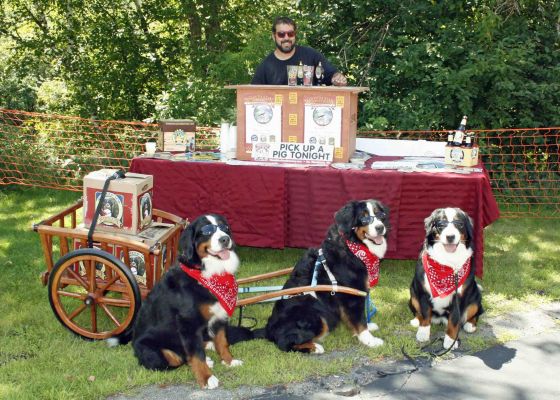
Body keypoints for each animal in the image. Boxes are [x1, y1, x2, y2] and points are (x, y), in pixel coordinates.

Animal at [108, 214, 242, 390]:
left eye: (225, 228)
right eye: (207, 231)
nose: (225, 239)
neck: (206, 272)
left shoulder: (219, 315)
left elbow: (222, 341)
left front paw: (229, 360)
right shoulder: (187, 323)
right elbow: (196, 355)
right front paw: (207, 378)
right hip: (158, 352)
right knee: (180, 358)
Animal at [258, 199, 390, 354]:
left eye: (380, 215)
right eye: (364, 218)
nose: (380, 227)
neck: (353, 247)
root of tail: (268, 329)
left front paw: (369, 328)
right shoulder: (352, 294)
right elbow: (359, 320)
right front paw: (370, 340)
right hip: (314, 315)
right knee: (285, 343)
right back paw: (315, 347)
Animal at [410, 208, 484, 348]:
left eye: (459, 224)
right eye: (441, 224)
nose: (450, 237)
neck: (447, 262)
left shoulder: (458, 297)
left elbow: (454, 320)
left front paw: (450, 340)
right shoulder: (423, 293)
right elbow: (425, 314)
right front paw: (423, 333)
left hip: (475, 298)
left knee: (476, 313)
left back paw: (470, 325)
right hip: (413, 293)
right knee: (418, 312)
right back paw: (416, 321)